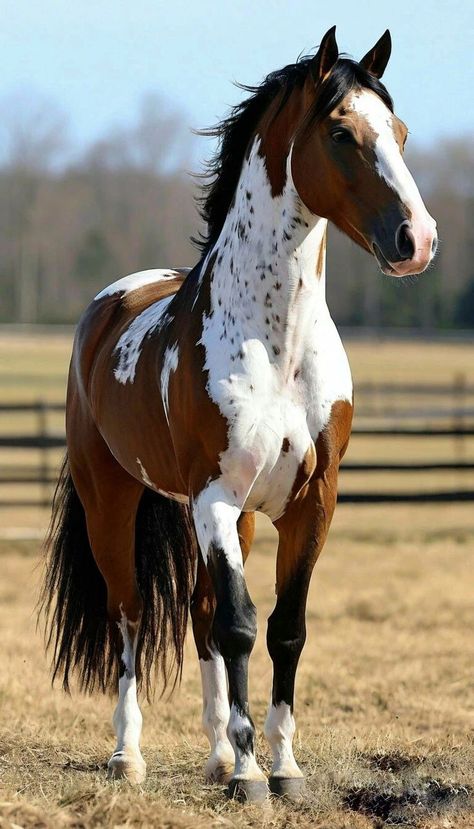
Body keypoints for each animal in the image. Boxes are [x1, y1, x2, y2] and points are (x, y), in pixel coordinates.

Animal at [40, 25, 436, 804]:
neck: (277, 344)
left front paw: (280, 766)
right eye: (341, 133)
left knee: (197, 613)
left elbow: (284, 628)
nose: (419, 240)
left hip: (236, 518)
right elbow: (243, 625)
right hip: (117, 500)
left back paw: (218, 754)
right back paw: (128, 756)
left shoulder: (310, 501)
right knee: (132, 614)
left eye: (400, 132)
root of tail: (109, 306)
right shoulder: (216, 499)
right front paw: (253, 774)